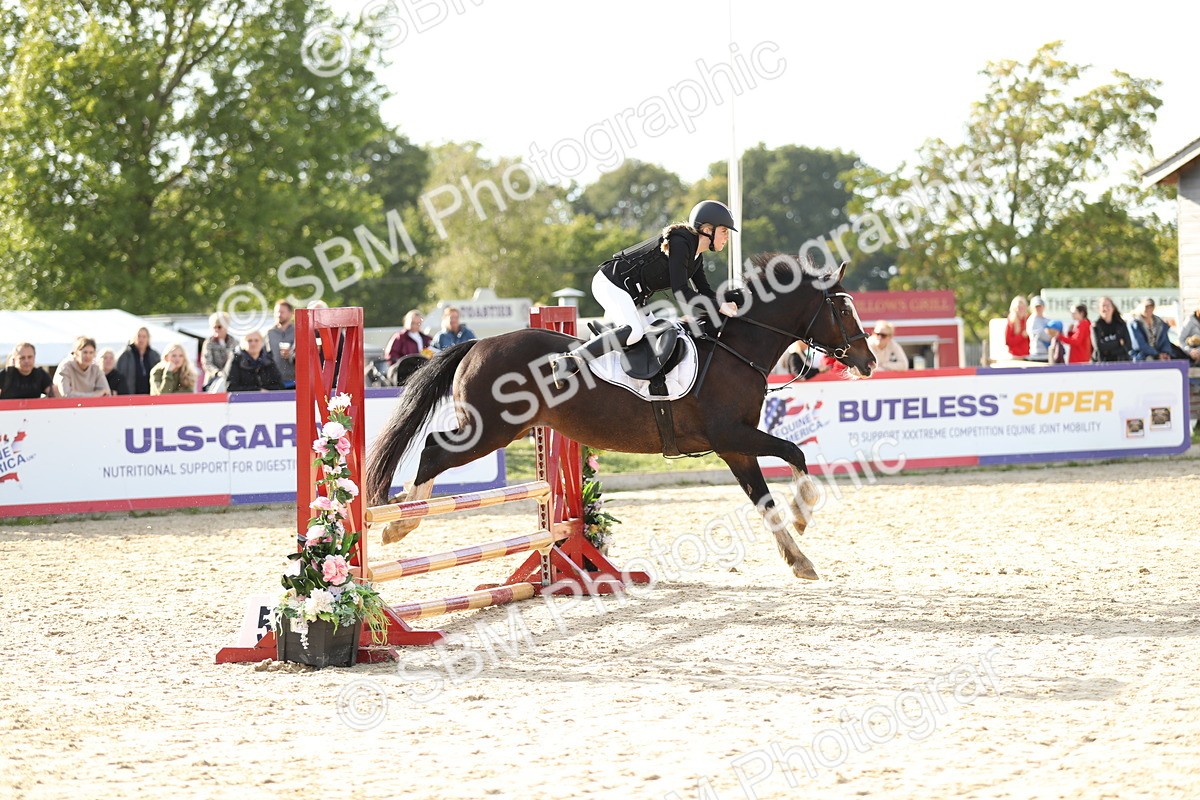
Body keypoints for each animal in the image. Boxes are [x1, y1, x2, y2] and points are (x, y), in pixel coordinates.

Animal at [364, 253, 877, 580]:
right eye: (841, 308)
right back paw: (397, 522)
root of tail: (477, 343)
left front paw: (799, 560)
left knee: (434, 450)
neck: (736, 349)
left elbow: (766, 501)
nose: (869, 361)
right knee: (434, 449)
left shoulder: (736, 448)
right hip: (490, 430)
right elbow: (795, 453)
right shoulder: (732, 435)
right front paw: (805, 516)